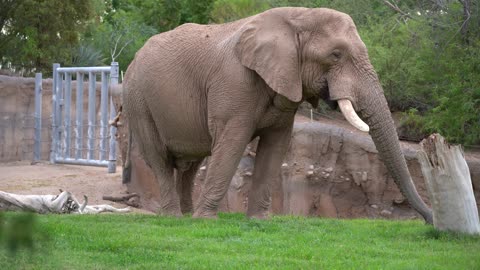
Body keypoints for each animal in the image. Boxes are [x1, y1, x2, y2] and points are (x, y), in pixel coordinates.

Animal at [122, 6, 434, 224]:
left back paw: (185, 216)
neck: (298, 15)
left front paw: (259, 221)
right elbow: (232, 143)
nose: (430, 220)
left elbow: (276, 146)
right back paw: (175, 218)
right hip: (138, 98)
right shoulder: (234, 82)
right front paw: (206, 222)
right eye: (335, 55)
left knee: (192, 163)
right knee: (159, 158)